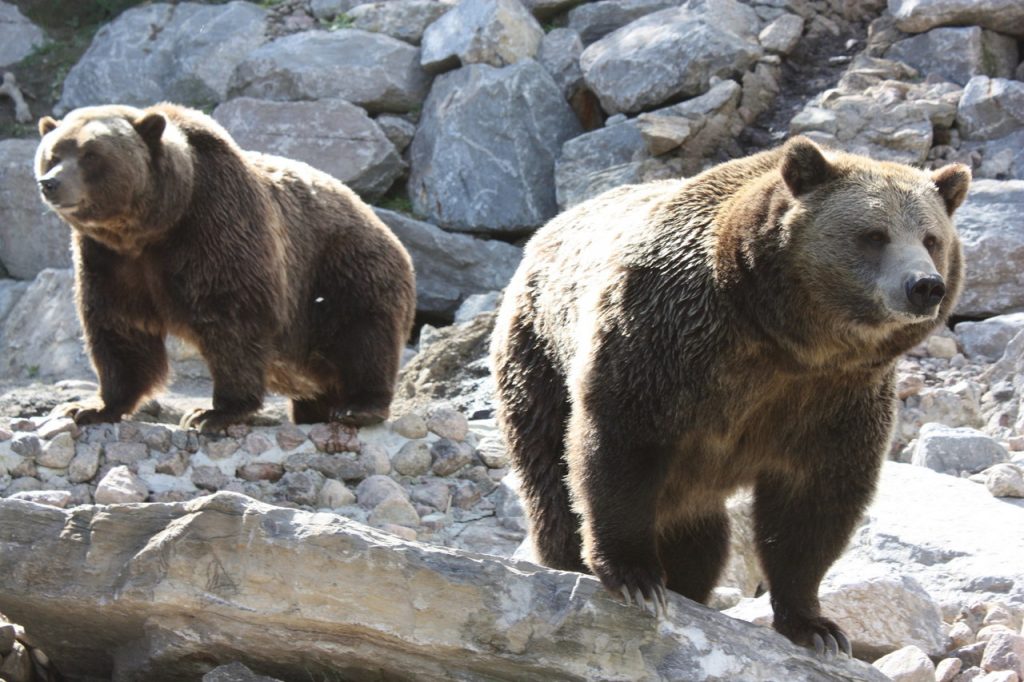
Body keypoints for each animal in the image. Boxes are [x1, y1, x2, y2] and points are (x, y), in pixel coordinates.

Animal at [37, 100, 415, 430]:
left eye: (90, 154)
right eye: (52, 154)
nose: (50, 182)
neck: (152, 227)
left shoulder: (215, 224)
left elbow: (233, 316)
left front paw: (212, 413)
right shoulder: (109, 259)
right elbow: (120, 326)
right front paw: (90, 407)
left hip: (343, 268)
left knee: (364, 333)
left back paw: (360, 407)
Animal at [491, 137, 970, 655]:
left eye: (931, 238)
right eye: (874, 234)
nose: (924, 286)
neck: (788, 339)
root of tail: (546, 231)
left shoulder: (836, 396)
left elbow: (816, 499)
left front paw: (816, 625)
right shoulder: (667, 343)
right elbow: (621, 440)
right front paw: (634, 575)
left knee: (703, 542)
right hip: (537, 355)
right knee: (550, 475)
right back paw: (568, 559)